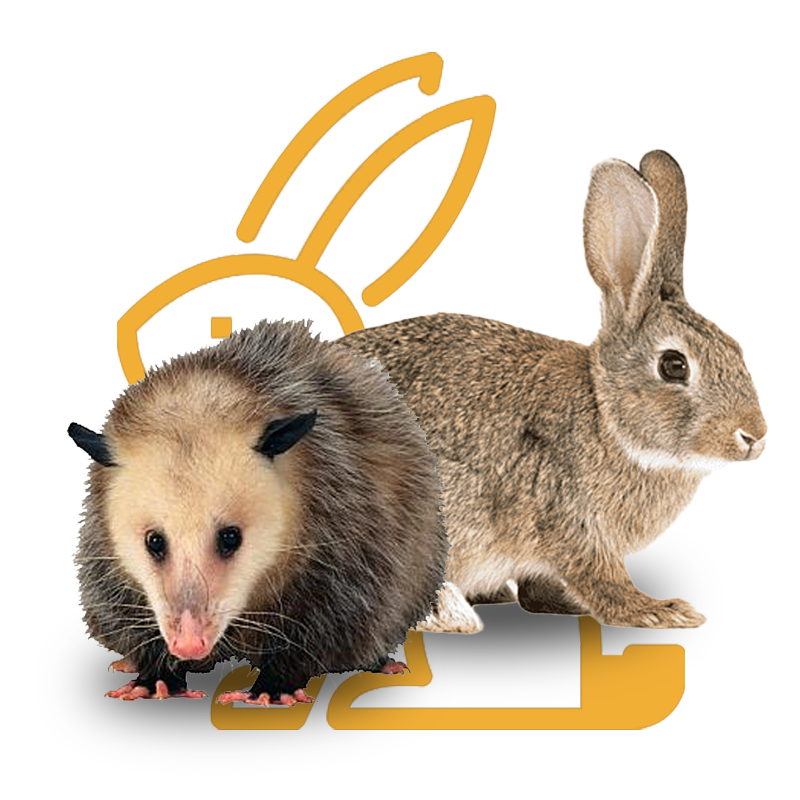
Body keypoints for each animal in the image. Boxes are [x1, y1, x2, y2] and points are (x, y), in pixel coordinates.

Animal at [337, 150, 768, 633]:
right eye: (674, 366)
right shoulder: (571, 522)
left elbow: (541, 588)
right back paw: (448, 613)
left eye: (735, 348)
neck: (606, 417)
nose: (755, 436)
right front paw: (663, 610)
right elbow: (603, 581)